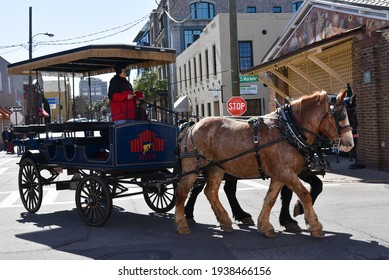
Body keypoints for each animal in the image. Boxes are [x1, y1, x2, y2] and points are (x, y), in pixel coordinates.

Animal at [174, 89, 354, 238]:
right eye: (340, 115)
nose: (349, 143)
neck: (288, 130)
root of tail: (192, 126)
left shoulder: (280, 174)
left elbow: (270, 198)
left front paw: (266, 226)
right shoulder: (286, 173)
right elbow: (304, 194)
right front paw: (314, 226)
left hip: (216, 168)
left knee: (210, 192)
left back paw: (225, 221)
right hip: (194, 167)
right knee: (183, 191)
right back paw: (182, 223)